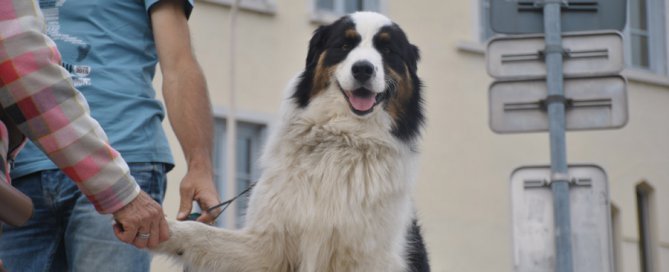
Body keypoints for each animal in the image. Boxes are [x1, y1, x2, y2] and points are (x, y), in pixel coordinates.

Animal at [154, 11, 428, 272]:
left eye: (388, 50)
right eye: (344, 45)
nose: (363, 69)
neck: (343, 139)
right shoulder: (265, 249)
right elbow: (199, 232)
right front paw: (161, 227)